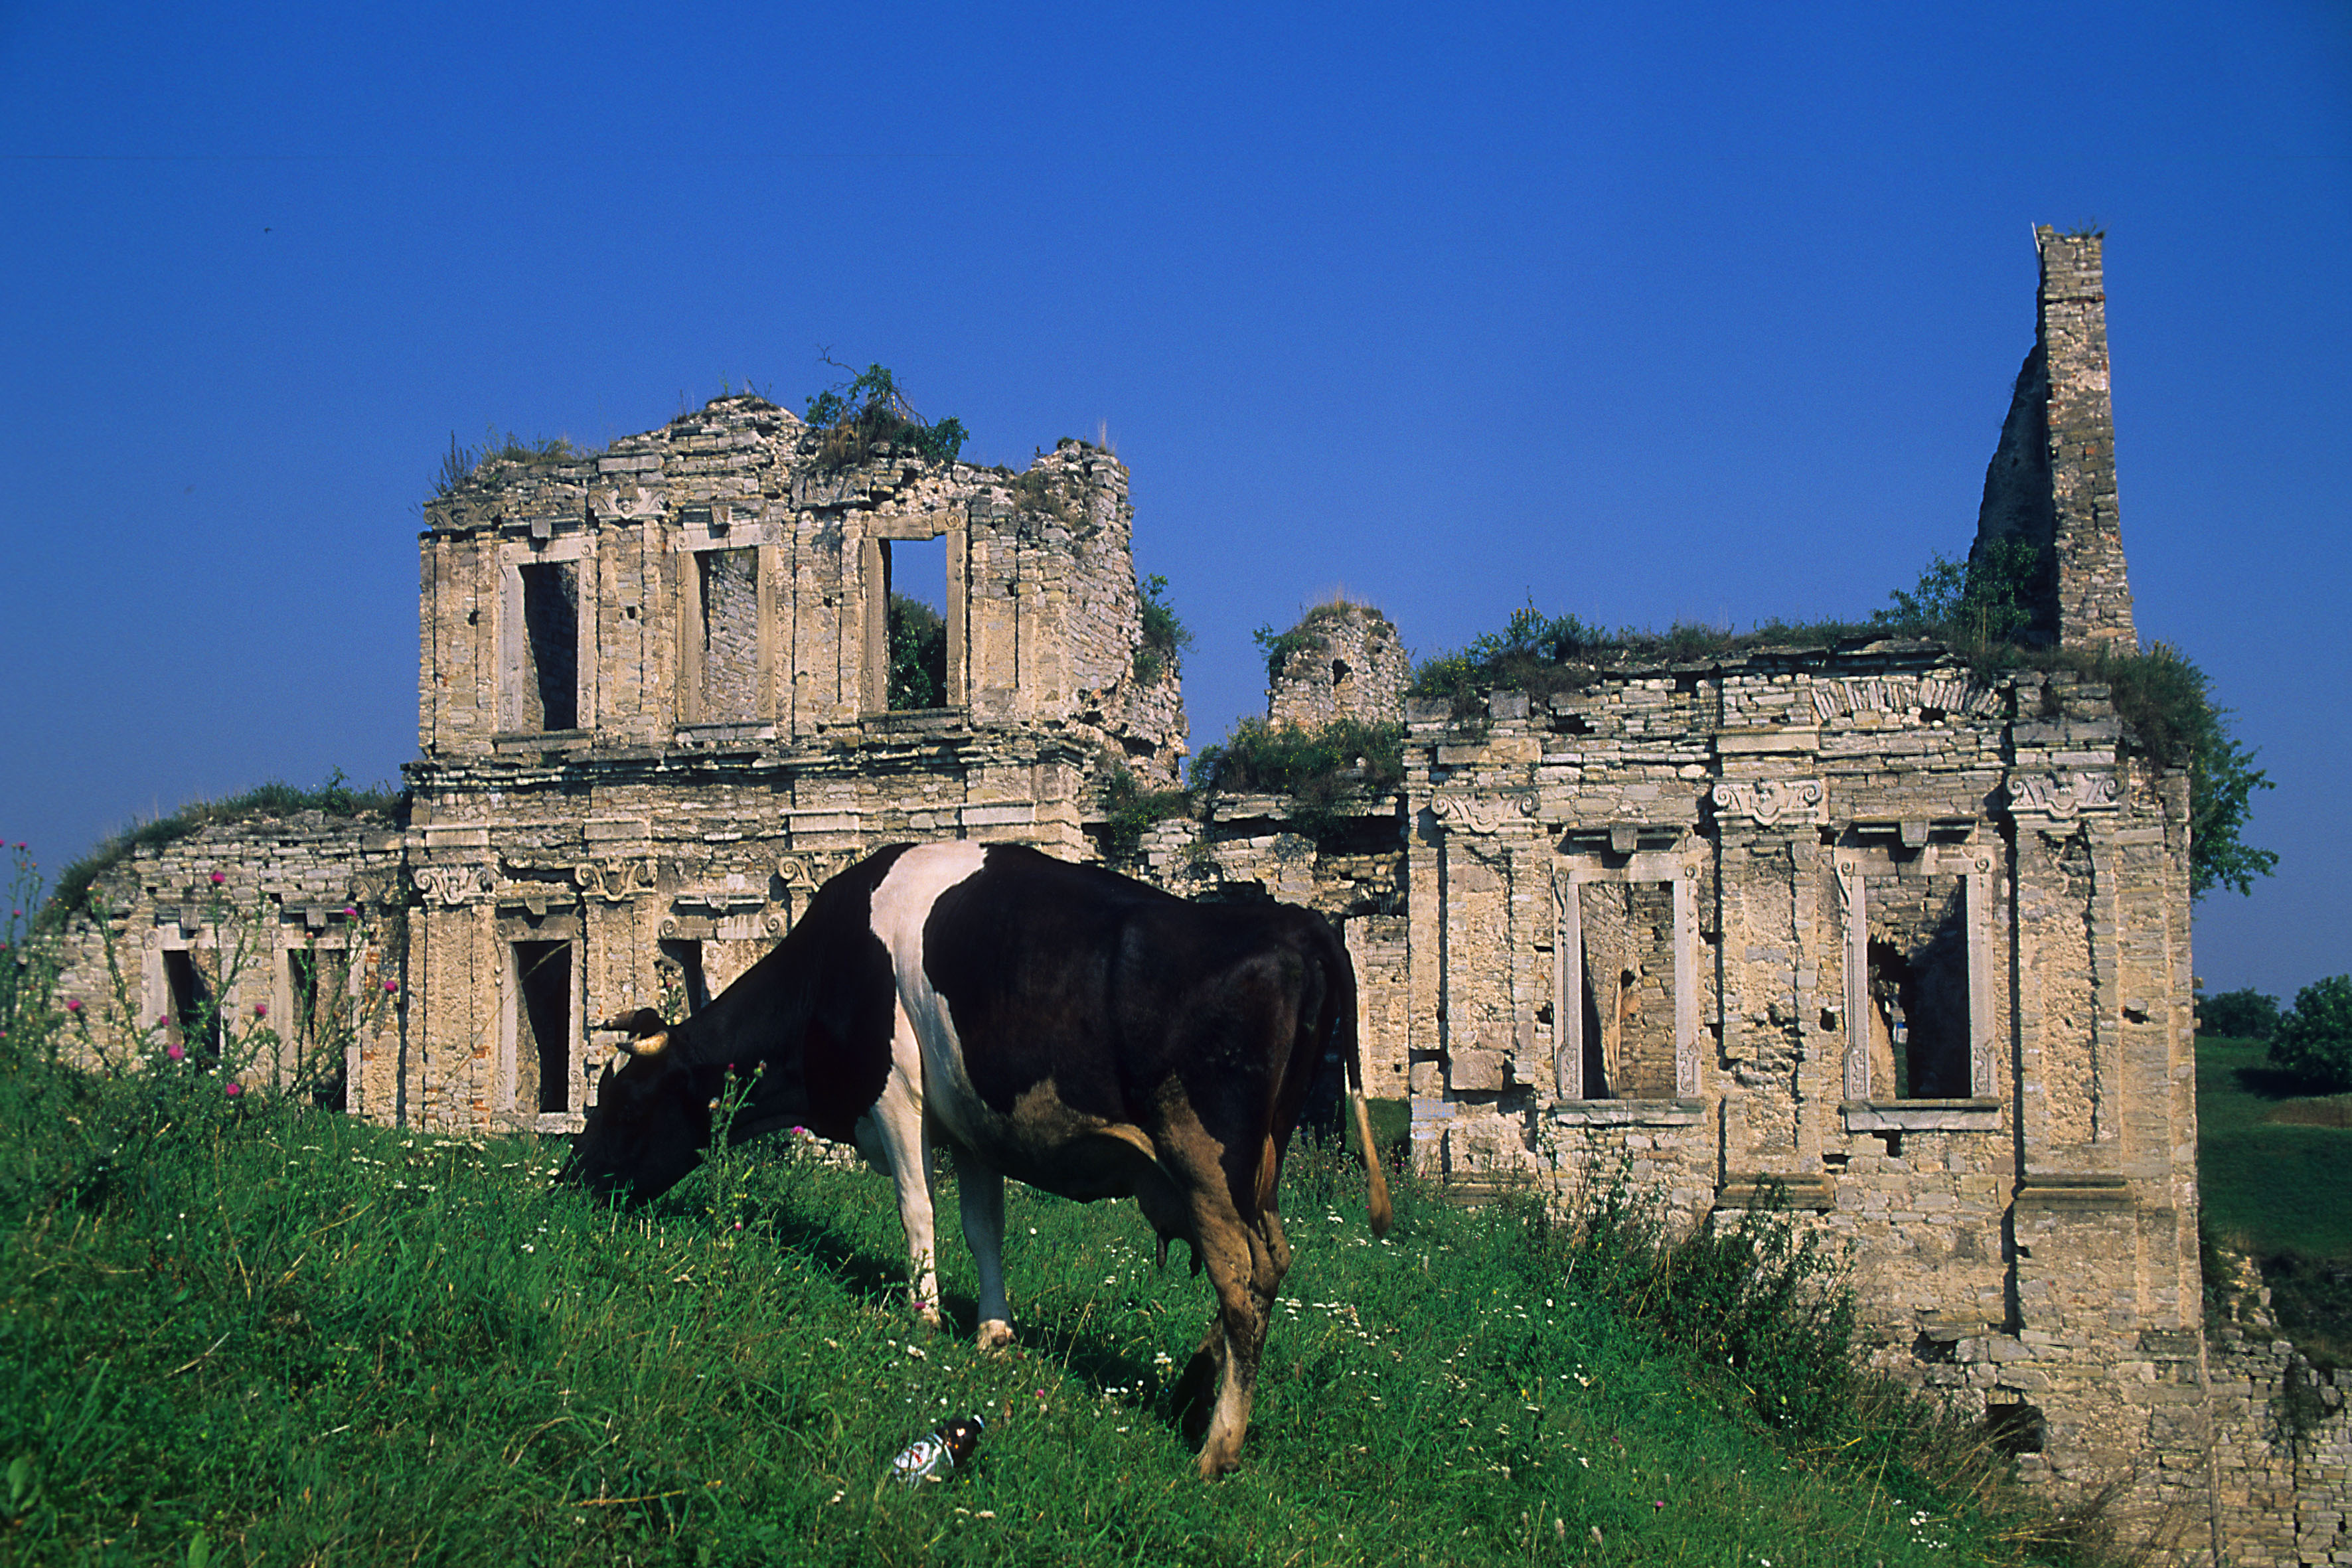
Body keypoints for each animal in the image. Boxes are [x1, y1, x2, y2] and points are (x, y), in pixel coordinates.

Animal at [560, 841, 1383, 1476]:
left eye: (623, 1101)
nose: (568, 1179)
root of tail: (1295, 921)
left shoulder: (896, 1094)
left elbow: (916, 1206)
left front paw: (922, 1313)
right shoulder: (972, 1124)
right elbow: (984, 1227)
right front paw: (994, 1331)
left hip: (1208, 1160)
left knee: (1242, 1284)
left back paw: (1216, 1446)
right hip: (1258, 1165)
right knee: (1271, 1263)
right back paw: (1193, 1381)